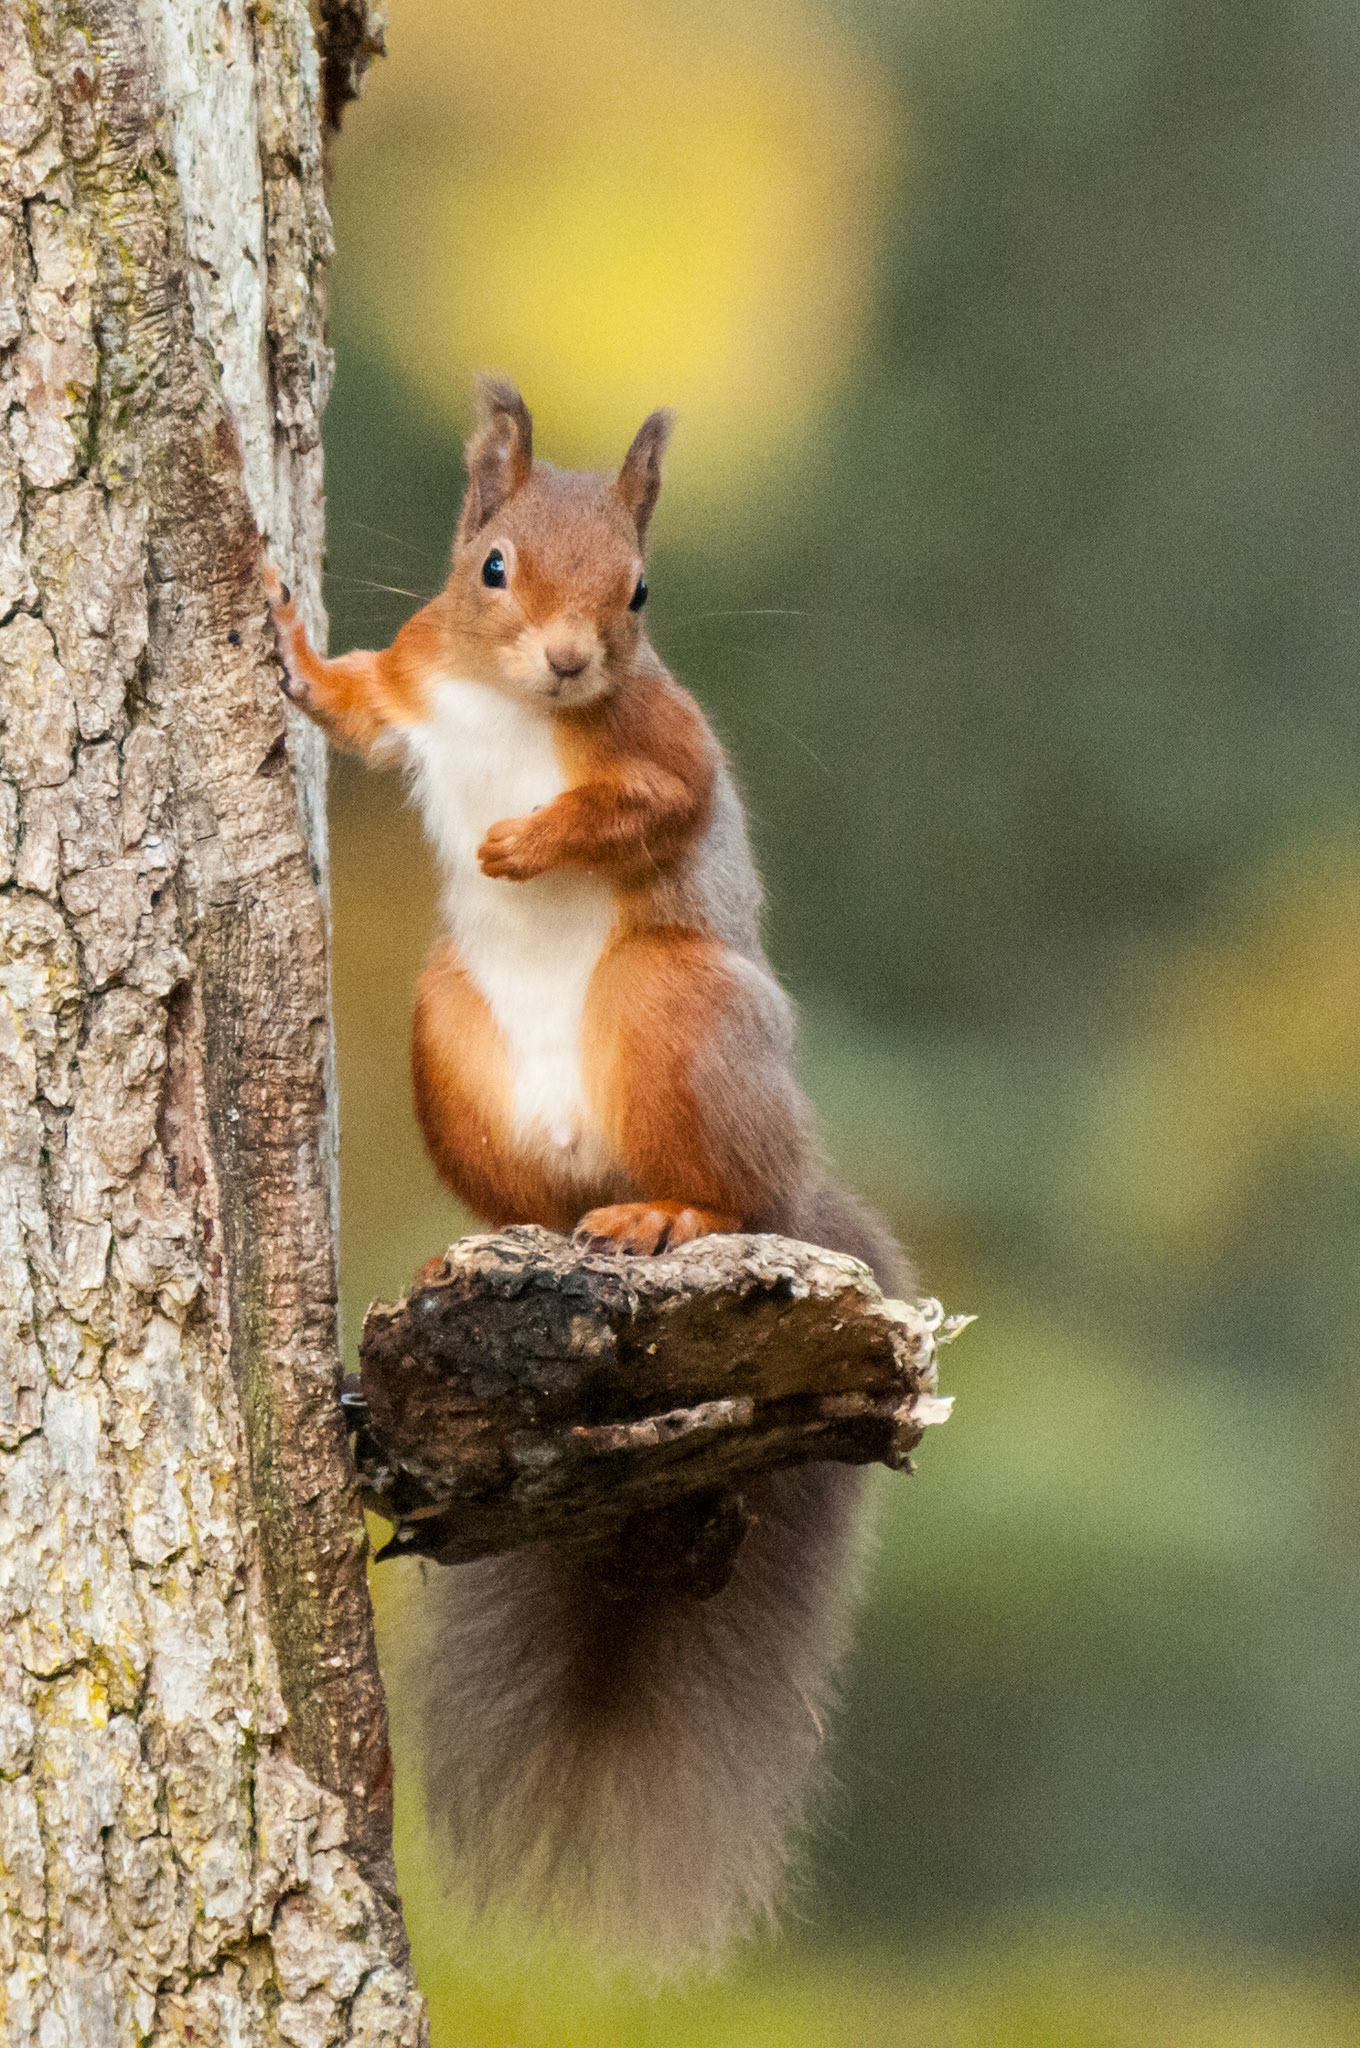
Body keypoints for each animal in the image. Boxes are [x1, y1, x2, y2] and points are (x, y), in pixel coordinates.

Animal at [265, 376, 913, 1973]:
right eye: (491, 566)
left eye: (639, 593)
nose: (568, 659)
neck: (517, 709)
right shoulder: (418, 682)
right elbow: (351, 700)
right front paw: (282, 628)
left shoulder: (665, 742)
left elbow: (658, 801)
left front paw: (527, 838)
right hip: (449, 1035)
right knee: (537, 1206)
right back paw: (507, 1240)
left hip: (669, 1007)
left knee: (724, 1191)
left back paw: (671, 1210)